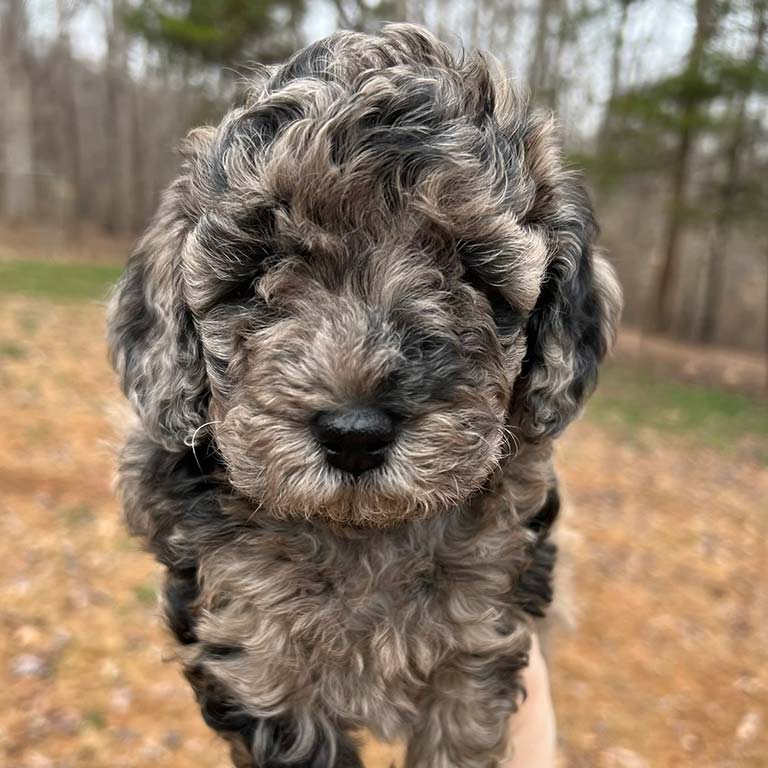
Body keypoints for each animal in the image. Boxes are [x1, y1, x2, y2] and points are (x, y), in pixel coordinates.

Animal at [108, 22, 620, 768]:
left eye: (473, 270)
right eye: (259, 268)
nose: (354, 434)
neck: (362, 534)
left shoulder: (488, 614)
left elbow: (462, 723)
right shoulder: (241, 630)